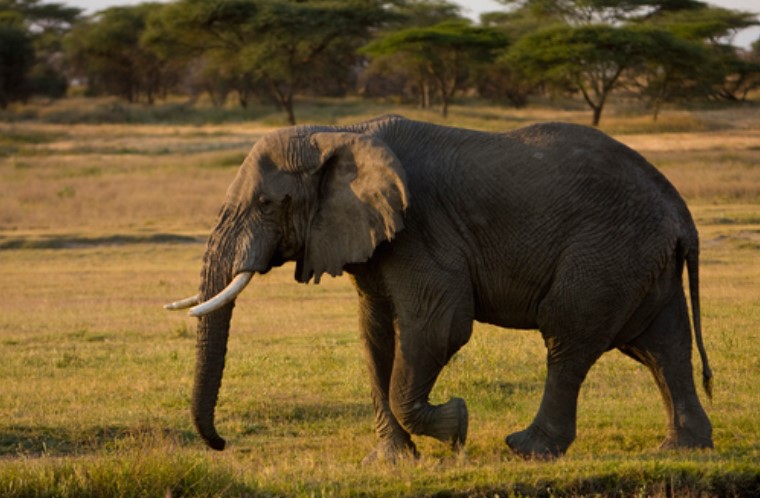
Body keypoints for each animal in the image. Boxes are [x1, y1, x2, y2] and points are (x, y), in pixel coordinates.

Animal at [165, 115, 712, 462]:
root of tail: (679, 209)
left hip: (606, 251)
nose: (222, 445)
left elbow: (440, 325)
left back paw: (528, 449)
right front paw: (391, 461)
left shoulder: (420, 228)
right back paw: (682, 449)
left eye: (266, 203)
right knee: (662, 346)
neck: (343, 132)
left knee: (568, 335)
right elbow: (375, 334)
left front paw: (457, 426)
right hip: (639, 258)